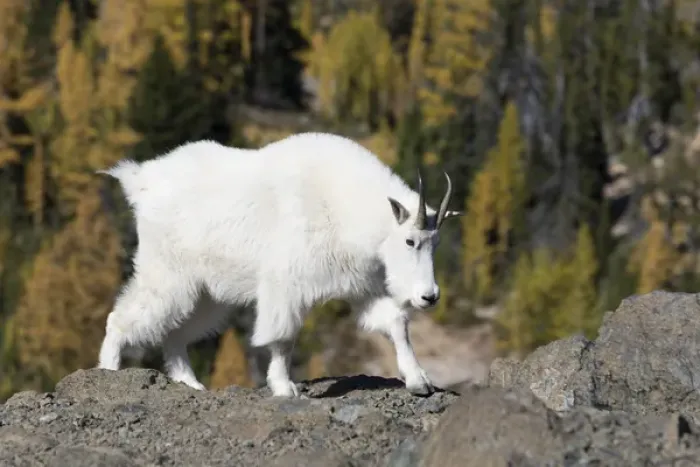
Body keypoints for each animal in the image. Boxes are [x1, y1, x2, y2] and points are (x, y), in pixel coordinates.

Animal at [96, 132, 462, 397]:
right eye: (410, 241)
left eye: (436, 243)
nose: (429, 296)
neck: (342, 206)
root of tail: (141, 181)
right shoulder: (287, 285)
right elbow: (283, 337)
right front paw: (285, 388)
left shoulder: (361, 287)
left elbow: (396, 323)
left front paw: (420, 382)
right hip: (168, 273)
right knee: (121, 318)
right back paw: (109, 370)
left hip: (206, 293)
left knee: (175, 333)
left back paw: (191, 384)